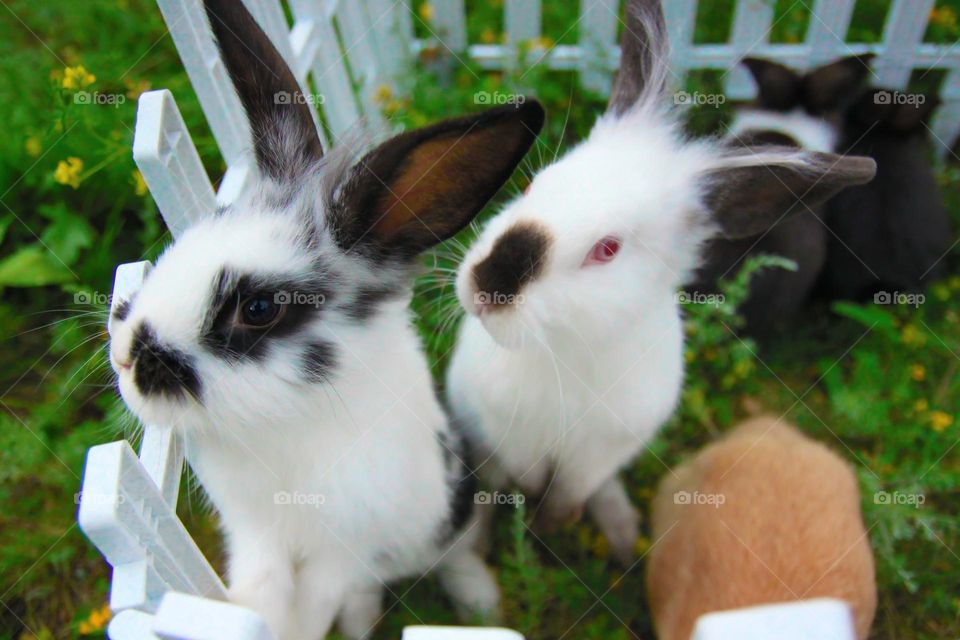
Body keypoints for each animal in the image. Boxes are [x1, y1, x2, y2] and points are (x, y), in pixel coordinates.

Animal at [106, 1, 545, 639]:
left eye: (259, 308)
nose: (128, 354)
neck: (289, 424)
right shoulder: (254, 533)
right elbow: (263, 586)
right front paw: (252, 616)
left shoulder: (348, 547)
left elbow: (317, 597)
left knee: (452, 554)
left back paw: (480, 603)